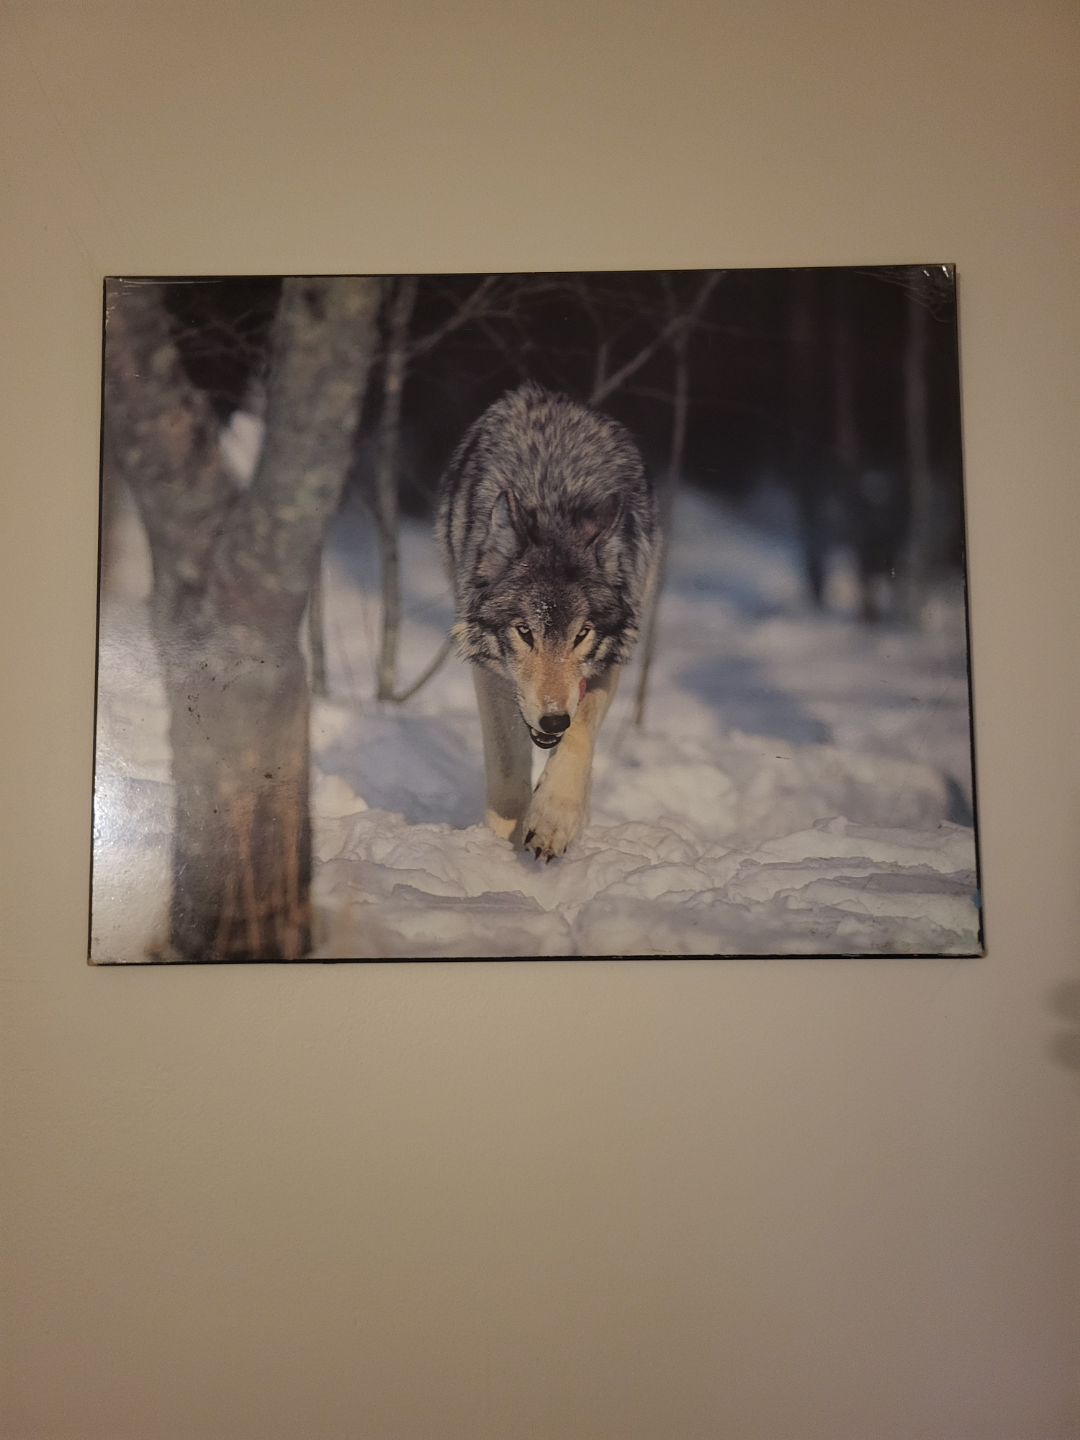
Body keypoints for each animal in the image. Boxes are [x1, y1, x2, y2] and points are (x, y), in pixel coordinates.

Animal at [436, 381, 656, 859]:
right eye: (525, 632)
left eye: (582, 634)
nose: (554, 720)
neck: (555, 502)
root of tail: (555, 397)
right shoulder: (490, 672)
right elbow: (507, 773)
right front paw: (501, 849)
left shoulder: (607, 661)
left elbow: (579, 739)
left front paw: (554, 820)